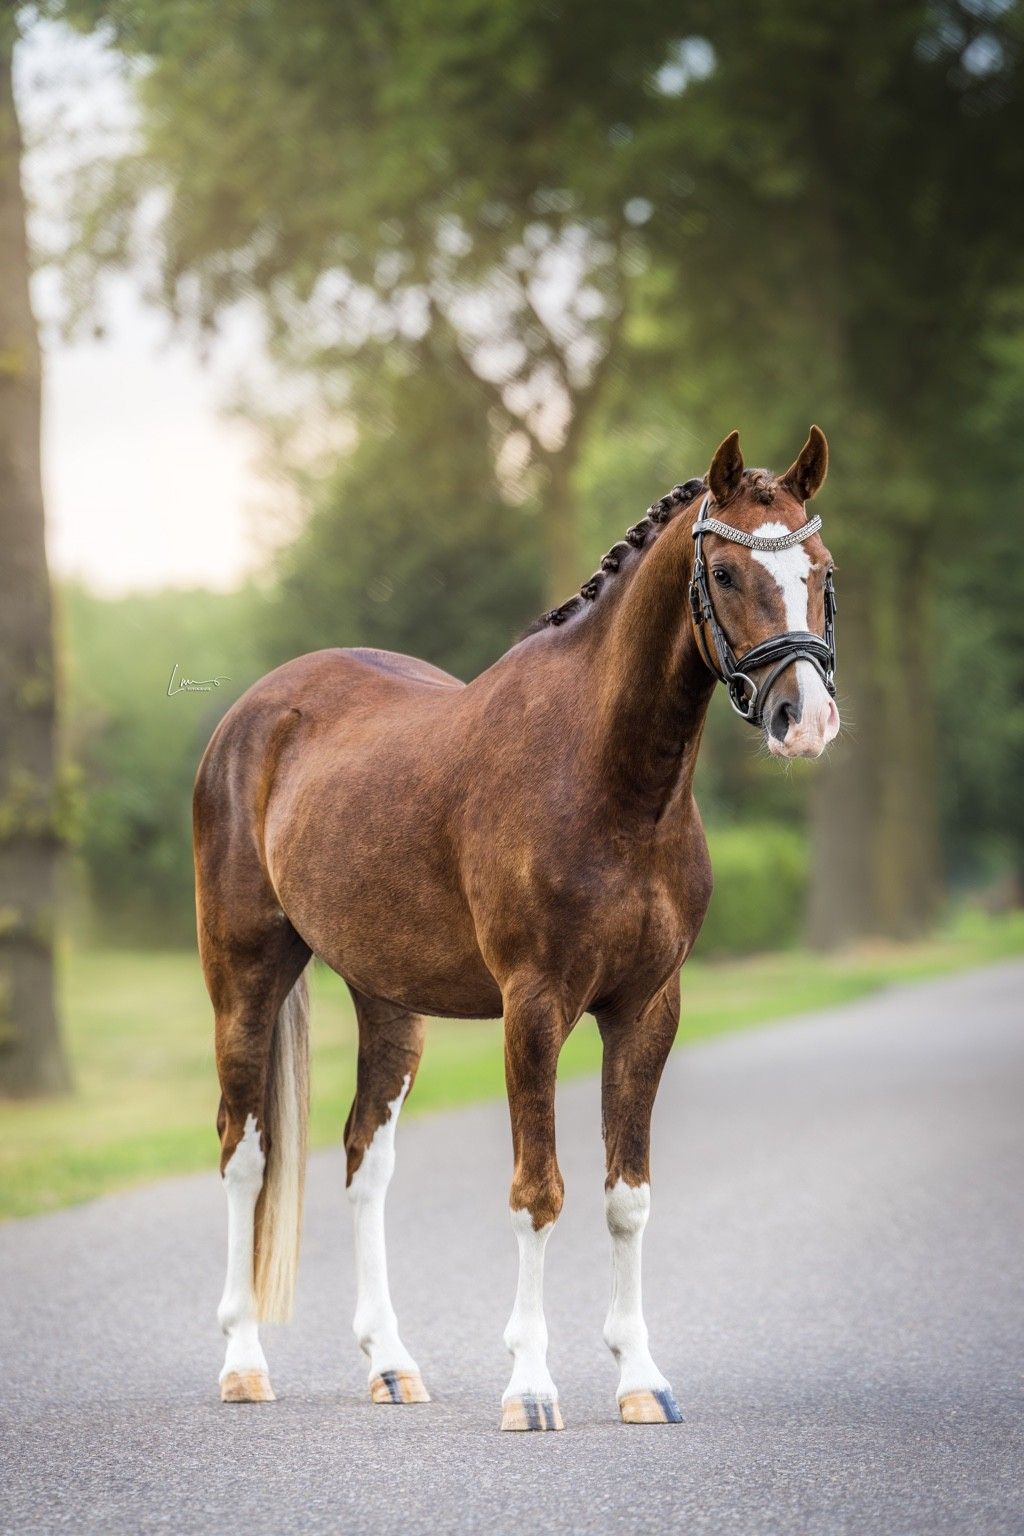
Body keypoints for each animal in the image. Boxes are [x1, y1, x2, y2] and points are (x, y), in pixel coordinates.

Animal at [194, 425, 839, 1430]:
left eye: (821, 569)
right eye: (728, 572)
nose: (803, 719)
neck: (609, 779)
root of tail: (255, 715)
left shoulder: (647, 1010)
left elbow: (626, 1196)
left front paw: (640, 1379)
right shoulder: (534, 1009)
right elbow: (539, 1193)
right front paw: (531, 1388)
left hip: (388, 1001)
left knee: (363, 1157)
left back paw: (391, 1364)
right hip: (246, 977)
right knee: (244, 1153)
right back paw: (243, 1364)